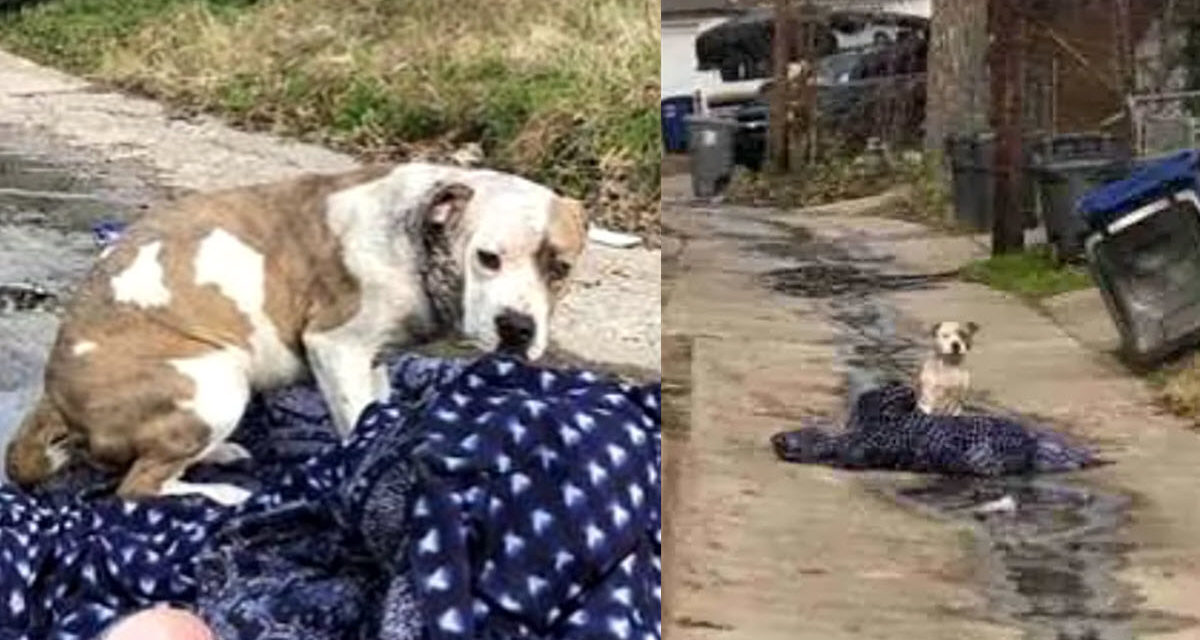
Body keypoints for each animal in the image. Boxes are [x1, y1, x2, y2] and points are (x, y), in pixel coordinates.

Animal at [4, 162, 585, 501]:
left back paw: (217, 455)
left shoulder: (372, 358)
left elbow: (379, 409)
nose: (517, 327)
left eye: (560, 268)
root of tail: (55, 398)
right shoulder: (337, 347)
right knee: (137, 488)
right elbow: (356, 422)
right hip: (216, 381)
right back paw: (223, 495)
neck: (420, 237)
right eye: (488, 258)